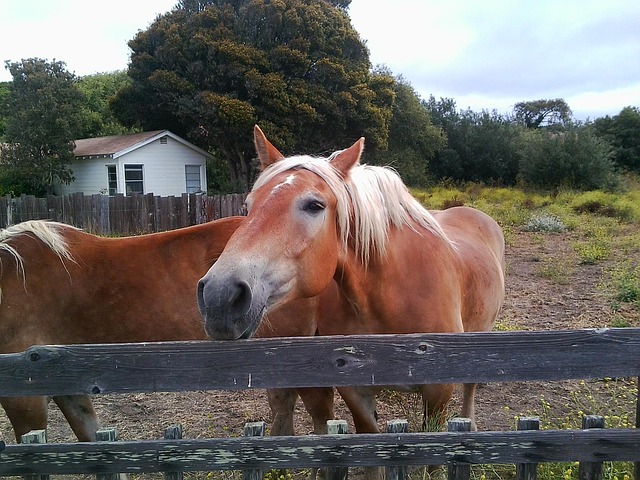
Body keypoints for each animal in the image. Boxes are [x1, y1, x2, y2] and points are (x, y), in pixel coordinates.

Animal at [198, 127, 508, 476]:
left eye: (314, 205)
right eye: (248, 207)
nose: (220, 296)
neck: (389, 295)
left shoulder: (438, 392)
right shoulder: (355, 392)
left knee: (471, 386)